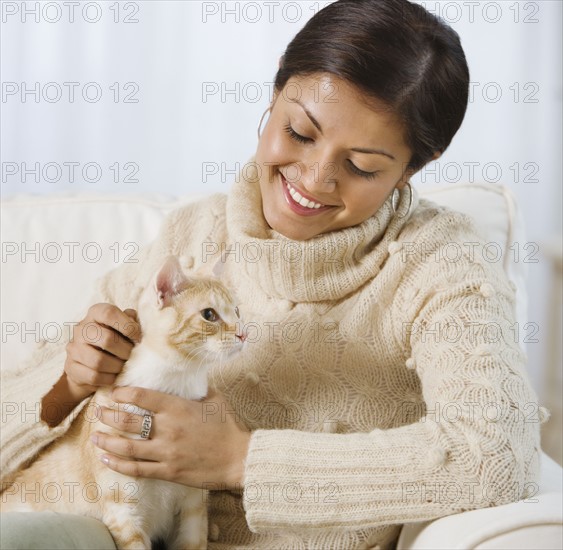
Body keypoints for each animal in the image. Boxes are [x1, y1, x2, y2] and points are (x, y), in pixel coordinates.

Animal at [1, 256, 245, 548]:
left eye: (238, 311)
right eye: (209, 315)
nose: (243, 334)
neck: (176, 383)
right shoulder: (123, 510)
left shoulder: (192, 509)